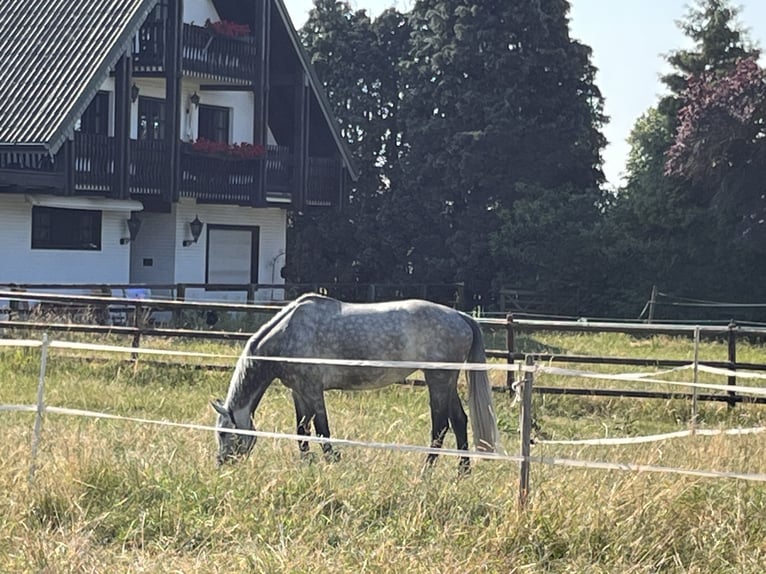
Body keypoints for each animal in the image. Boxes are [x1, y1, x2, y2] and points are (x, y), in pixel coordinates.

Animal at [213, 294, 504, 474]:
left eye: (225, 433)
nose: (221, 463)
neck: (287, 334)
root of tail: (461, 317)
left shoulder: (313, 390)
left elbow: (322, 430)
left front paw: (332, 462)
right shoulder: (298, 391)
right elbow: (301, 430)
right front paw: (307, 464)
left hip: (438, 380)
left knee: (441, 427)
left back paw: (426, 472)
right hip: (447, 381)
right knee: (459, 421)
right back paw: (462, 473)